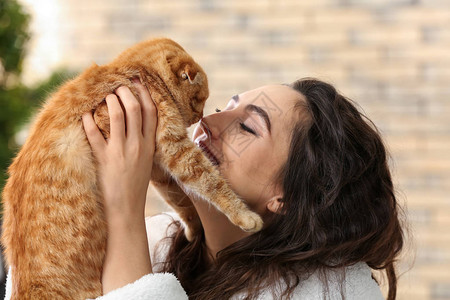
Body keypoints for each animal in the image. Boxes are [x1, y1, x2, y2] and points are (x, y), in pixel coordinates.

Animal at [0, 38, 262, 300]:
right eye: (199, 99)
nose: (200, 118)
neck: (136, 72)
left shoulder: (157, 165)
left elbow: (180, 199)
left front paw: (194, 228)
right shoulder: (174, 149)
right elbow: (210, 181)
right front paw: (246, 217)